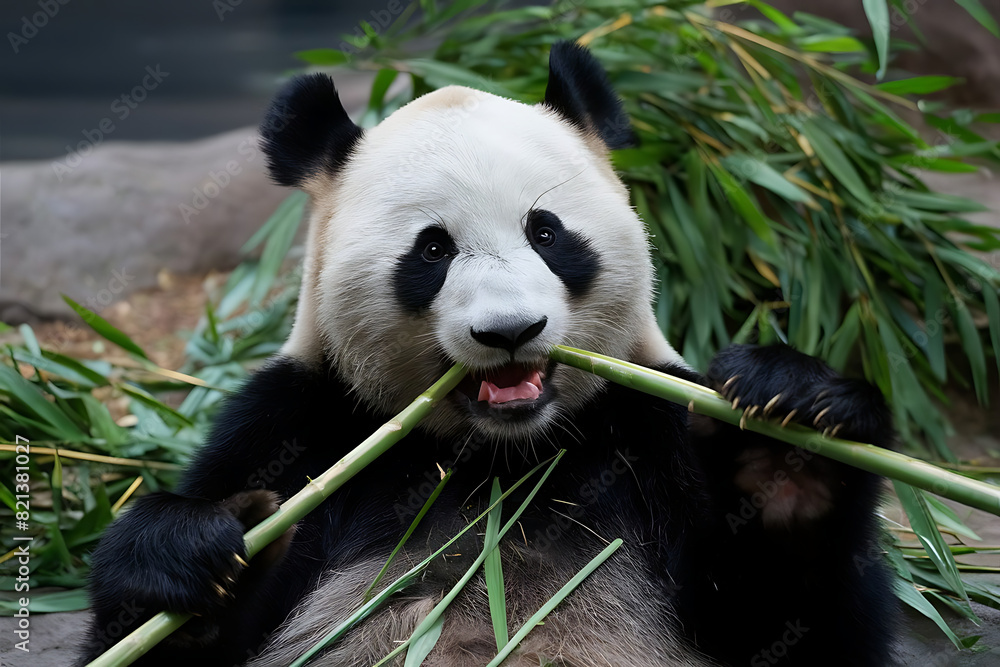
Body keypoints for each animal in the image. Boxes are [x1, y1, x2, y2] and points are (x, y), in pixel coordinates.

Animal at [79, 42, 898, 667]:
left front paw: (787, 435)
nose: (509, 330)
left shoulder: (650, 422)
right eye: (433, 250)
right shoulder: (300, 419)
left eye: (547, 232)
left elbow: (797, 634)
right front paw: (189, 556)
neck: (503, 457)